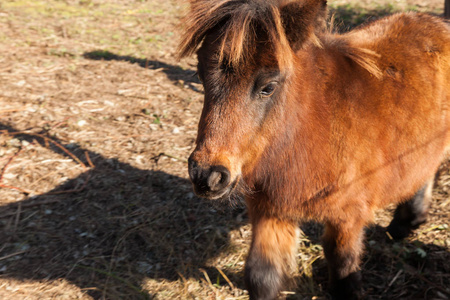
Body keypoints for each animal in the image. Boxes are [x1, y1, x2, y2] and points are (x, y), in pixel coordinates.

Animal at [178, 1, 448, 298]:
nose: (207, 176)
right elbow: (262, 276)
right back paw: (405, 224)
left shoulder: (348, 216)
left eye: (268, 87)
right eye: (201, 75)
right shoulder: (271, 210)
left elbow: (343, 273)